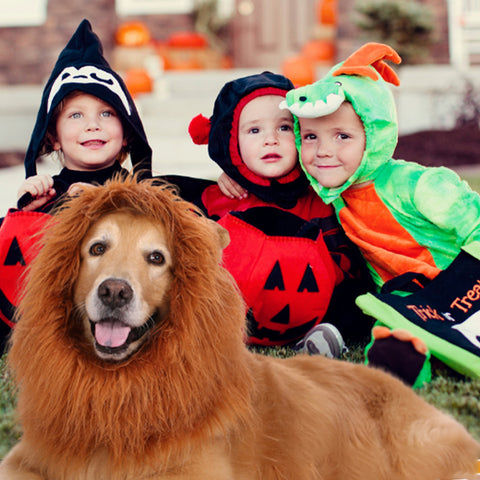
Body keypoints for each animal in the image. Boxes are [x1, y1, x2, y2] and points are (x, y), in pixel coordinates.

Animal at [0, 177, 480, 480]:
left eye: (157, 258)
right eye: (97, 248)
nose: (114, 292)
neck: (117, 389)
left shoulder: (195, 470)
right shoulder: (31, 456)